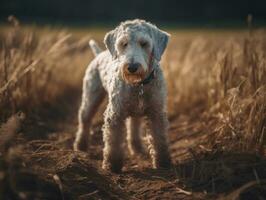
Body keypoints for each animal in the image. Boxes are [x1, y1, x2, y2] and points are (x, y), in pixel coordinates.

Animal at [74, 18, 171, 173]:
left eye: (144, 43)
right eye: (123, 43)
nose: (132, 67)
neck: (139, 84)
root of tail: (99, 54)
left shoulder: (157, 113)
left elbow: (159, 139)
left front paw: (163, 163)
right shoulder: (115, 114)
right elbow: (113, 142)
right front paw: (111, 165)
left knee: (133, 129)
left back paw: (137, 150)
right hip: (91, 97)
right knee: (84, 120)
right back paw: (80, 147)